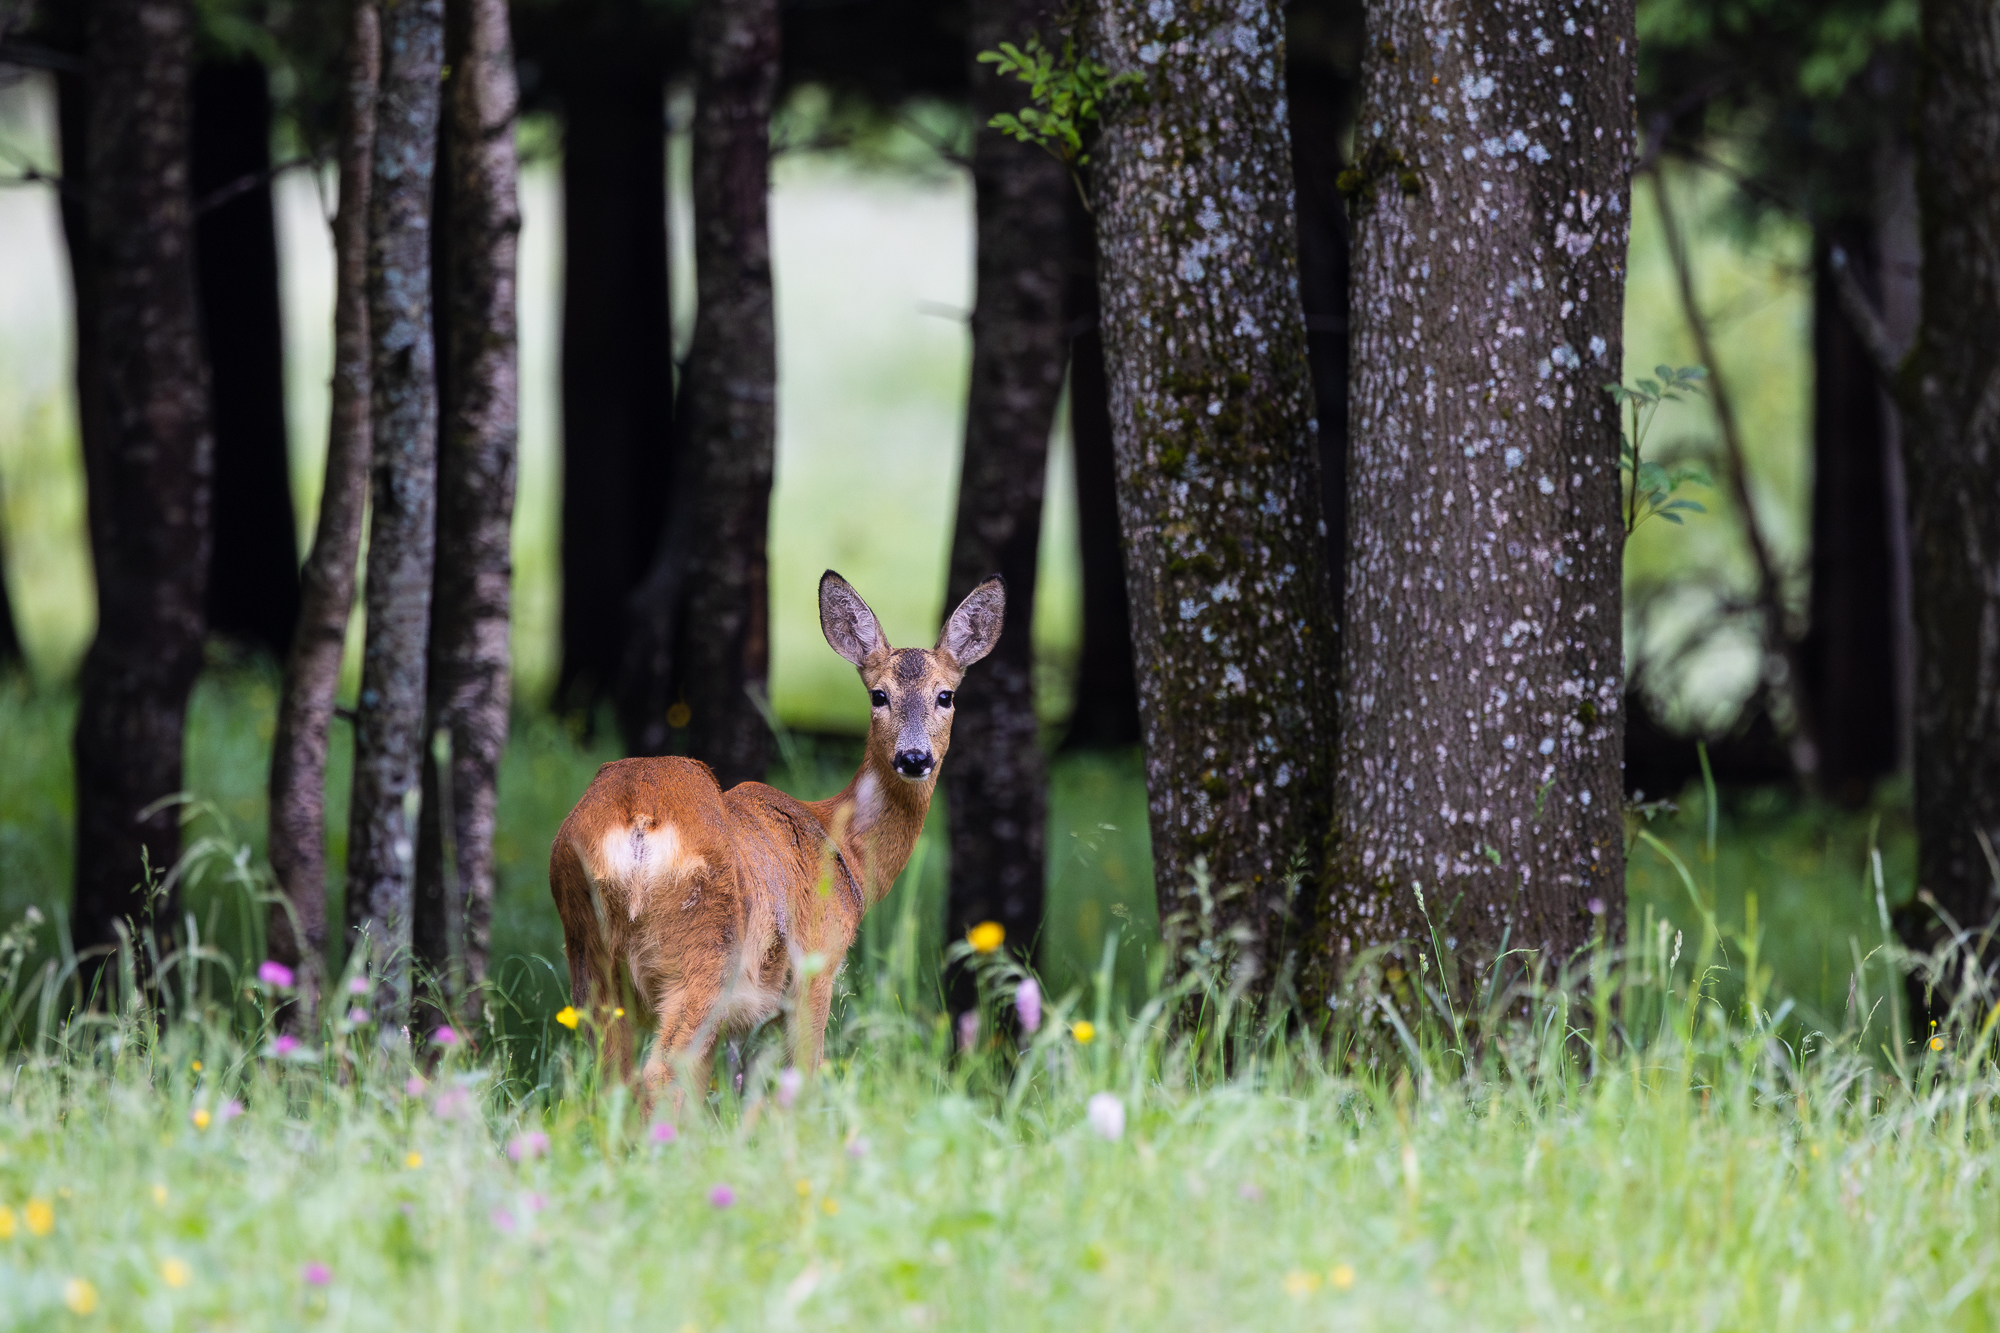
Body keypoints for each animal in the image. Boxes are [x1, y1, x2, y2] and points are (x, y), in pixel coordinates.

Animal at [548, 570, 1004, 1112]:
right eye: (878, 695)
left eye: (945, 696)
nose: (914, 758)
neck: (845, 850)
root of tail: (637, 818)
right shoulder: (818, 963)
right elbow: (803, 1076)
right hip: (704, 953)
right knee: (659, 1074)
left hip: (588, 952)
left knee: (607, 1080)